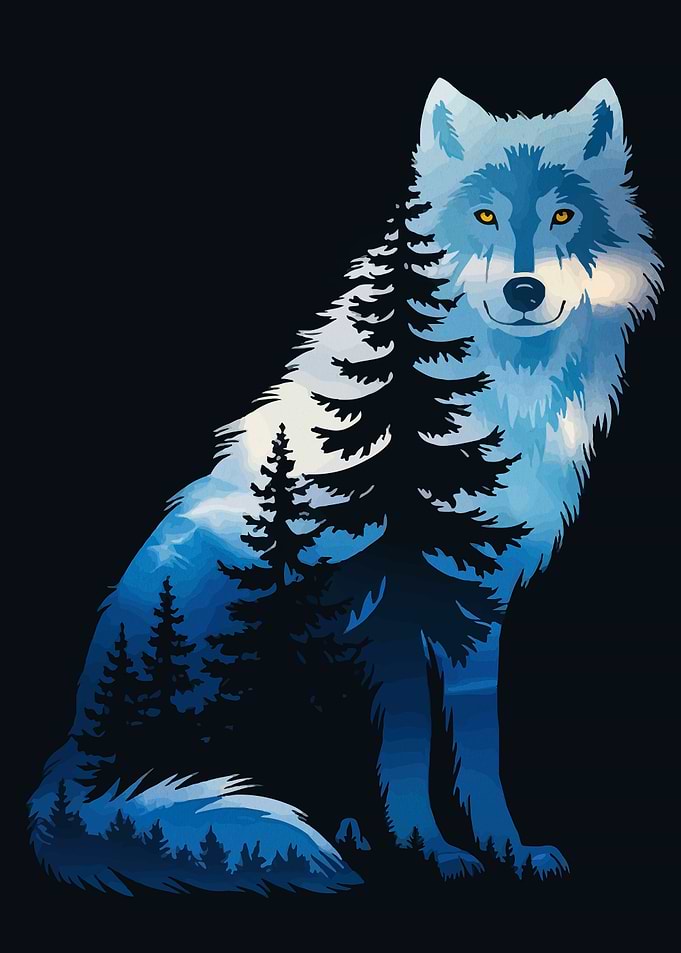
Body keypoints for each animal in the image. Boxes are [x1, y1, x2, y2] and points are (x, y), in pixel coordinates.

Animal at [29, 78, 661, 892]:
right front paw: (436, 850)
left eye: (562, 215)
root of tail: (68, 765)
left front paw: (507, 850)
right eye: (485, 216)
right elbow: (410, 744)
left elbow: (479, 748)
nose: (524, 290)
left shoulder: (478, 603)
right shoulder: (390, 604)